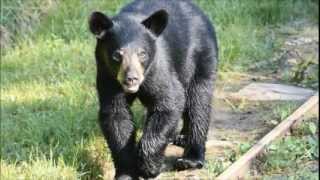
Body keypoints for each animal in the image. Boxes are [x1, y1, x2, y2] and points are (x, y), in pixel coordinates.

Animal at [87, 0, 218, 179]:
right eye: (117, 55)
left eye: (142, 53)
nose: (131, 78)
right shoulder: (107, 76)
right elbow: (116, 117)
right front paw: (126, 172)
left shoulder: (157, 69)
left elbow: (169, 102)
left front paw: (149, 167)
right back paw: (182, 136)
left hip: (201, 56)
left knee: (198, 101)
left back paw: (190, 159)